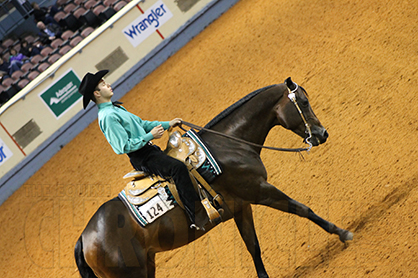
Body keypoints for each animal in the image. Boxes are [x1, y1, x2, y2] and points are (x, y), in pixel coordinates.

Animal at [74, 77, 352, 278]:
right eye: (303, 102)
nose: (322, 134)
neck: (228, 145)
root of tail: (85, 239)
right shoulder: (260, 190)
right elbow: (302, 209)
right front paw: (342, 233)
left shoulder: (242, 207)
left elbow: (253, 246)